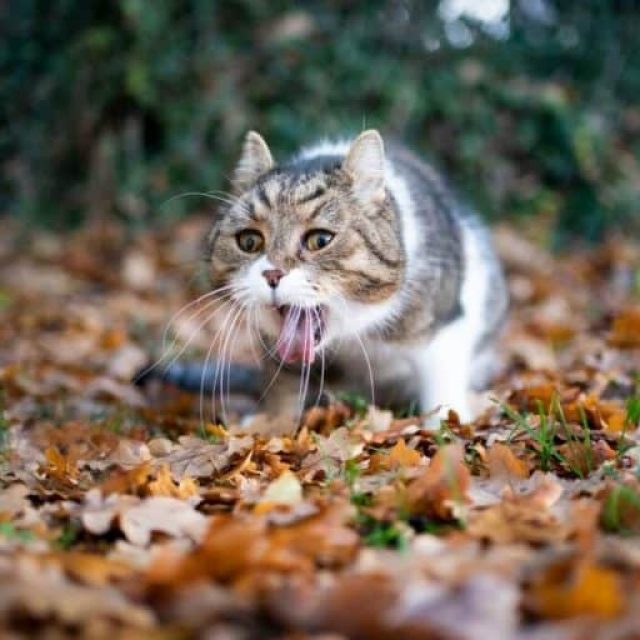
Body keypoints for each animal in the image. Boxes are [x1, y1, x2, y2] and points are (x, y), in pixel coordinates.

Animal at [196, 129, 509, 423]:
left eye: (320, 240)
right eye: (249, 241)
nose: (272, 273)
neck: (354, 332)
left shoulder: (444, 320)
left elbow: (441, 379)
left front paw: (448, 423)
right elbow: (283, 381)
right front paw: (271, 422)